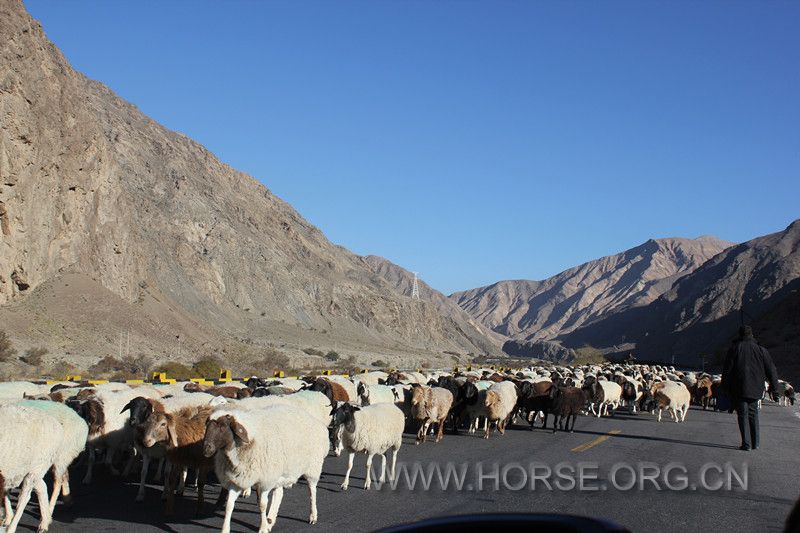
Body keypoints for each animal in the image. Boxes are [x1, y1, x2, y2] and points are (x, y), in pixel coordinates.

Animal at [206, 404, 332, 532]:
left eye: (223, 426)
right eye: (207, 425)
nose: (206, 448)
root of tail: (315, 420)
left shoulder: (265, 480)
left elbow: (262, 504)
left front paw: (263, 528)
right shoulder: (237, 480)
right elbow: (229, 505)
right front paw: (225, 529)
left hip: (313, 467)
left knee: (312, 491)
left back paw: (313, 516)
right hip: (279, 472)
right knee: (279, 493)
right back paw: (271, 519)